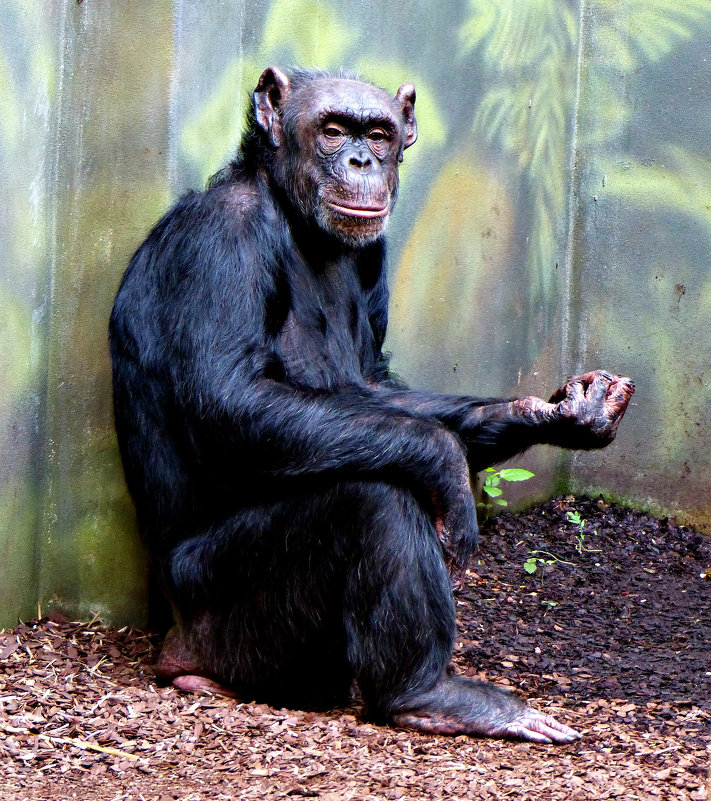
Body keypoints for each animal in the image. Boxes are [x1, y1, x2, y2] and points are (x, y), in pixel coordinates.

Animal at [110, 65, 636, 740]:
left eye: (380, 134)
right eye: (333, 130)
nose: (361, 160)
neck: (295, 220)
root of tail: (176, 641)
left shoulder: (374, 260)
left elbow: (375, 386)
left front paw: (560, 413)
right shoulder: (221, 243)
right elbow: (230, 400)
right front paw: (447, 466)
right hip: (214, 601)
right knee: (371, 499)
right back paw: (431, 694)